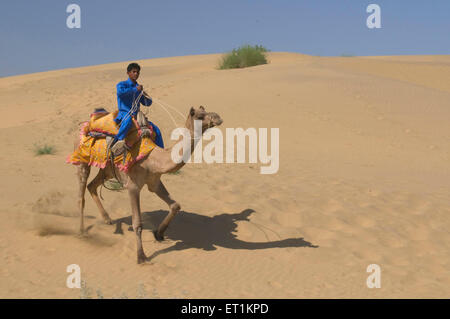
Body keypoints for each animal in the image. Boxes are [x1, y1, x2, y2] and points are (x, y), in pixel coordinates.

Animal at [74, 106, 224, 264]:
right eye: (200, 116)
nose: (218, 117)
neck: (153, 160)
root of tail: (84, 124)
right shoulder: (133, 186)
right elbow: (137, 223)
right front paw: (141, 257)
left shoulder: (154, 182)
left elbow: (175, 205)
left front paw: (158, 233)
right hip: (82, 159)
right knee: (81, 194)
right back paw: (82, 231)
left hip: (107, 169)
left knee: (92, 185)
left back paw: (107, 219)